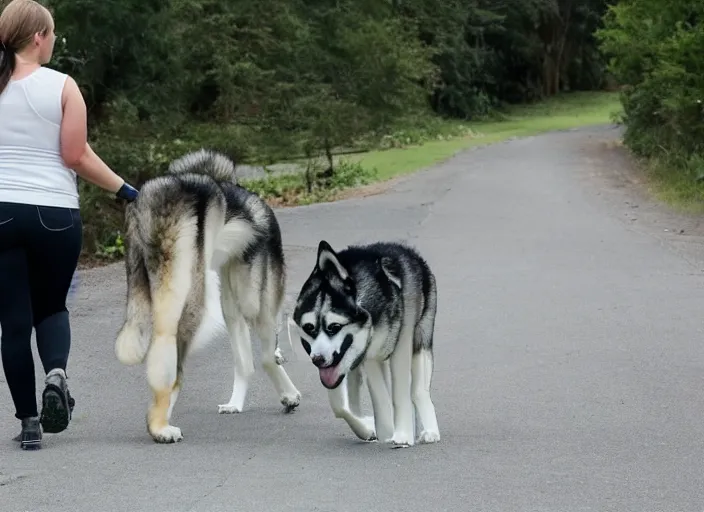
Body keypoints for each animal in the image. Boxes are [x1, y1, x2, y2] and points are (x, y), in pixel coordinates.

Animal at [115, 149, 300, 444]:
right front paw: (288, 393)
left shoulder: (233, 304)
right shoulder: (255, 300)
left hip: (152, 292)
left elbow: (245, 362)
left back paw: (160, 422)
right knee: (172, 366)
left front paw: (237, 402)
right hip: (195, 300)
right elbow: (266, 354)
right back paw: (161, 426)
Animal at [292, 241, 440, 448]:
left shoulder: (401, 348)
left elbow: (401, 393)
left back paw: (429, 430)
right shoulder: (368, 358)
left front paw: (402, 434)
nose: (318, 360)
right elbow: (368, 399)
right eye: (309, 328)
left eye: (334, 327)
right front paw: (381, 430)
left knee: (419, 390)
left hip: (420, 340)